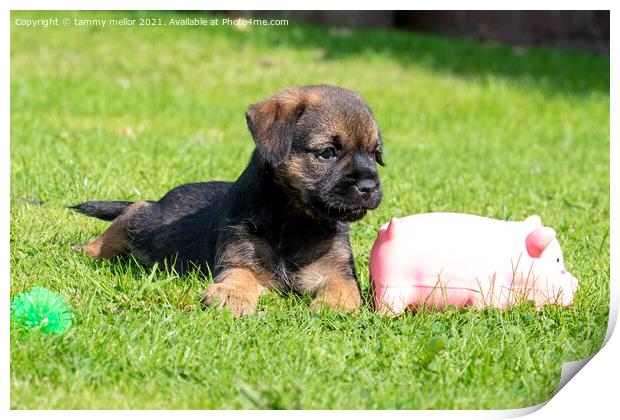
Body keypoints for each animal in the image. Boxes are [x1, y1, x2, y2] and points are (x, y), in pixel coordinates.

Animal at [71, 84, 382, 316]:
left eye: (375, 154)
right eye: (328, 152)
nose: (369, 186)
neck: (295, 221)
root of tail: (162, 200)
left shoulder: (336, 270)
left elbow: (345, 289)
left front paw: (334, 306)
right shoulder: (241, 257)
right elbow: (240, 275)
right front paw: (231, 294)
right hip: (146, 223)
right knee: (131, 212)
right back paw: (84, 250)